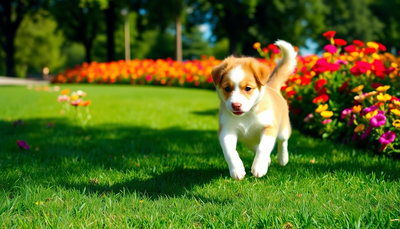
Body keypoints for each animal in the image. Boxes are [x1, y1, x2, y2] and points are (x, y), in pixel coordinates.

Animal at [212, 40, 296, 180]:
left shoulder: (269, 127)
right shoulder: (226, 130)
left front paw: (259, 168)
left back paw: (282, 158)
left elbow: (263, 147)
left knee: (283, 141)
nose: (236, 105)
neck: (247, 115)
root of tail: (271, 86)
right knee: (256, 146)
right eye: (227, 89)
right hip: (248, 141)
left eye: (248, 88)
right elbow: (230, 151)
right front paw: (236, 170)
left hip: (283, 127)